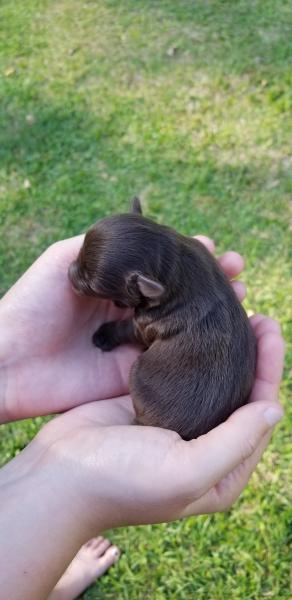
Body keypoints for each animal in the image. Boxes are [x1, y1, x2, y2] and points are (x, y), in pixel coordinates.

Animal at [68, 199, 256, 438]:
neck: (172, 266)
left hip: (137, 372)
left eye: (91, 284)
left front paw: (104, 335)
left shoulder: (141, 326)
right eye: (79, 252)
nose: (69, 271)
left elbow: (123, 329)